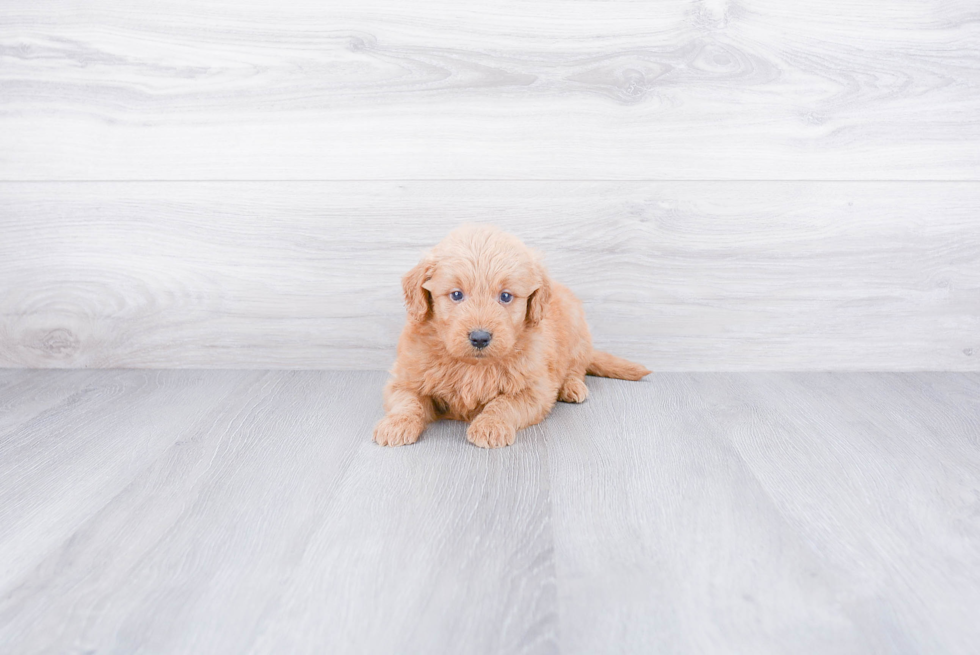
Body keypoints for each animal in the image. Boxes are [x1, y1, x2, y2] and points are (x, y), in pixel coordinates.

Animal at [376, 223, 652, 448]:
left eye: (506, 296)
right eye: (456, 295)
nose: (480, 338)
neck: (472, 366)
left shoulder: (535, 389)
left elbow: (504, 404)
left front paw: (490, 425)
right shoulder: (405, 378)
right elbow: (407, 401)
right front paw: (396, 424)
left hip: (577, 332)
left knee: (576, 367)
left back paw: (572, 387)